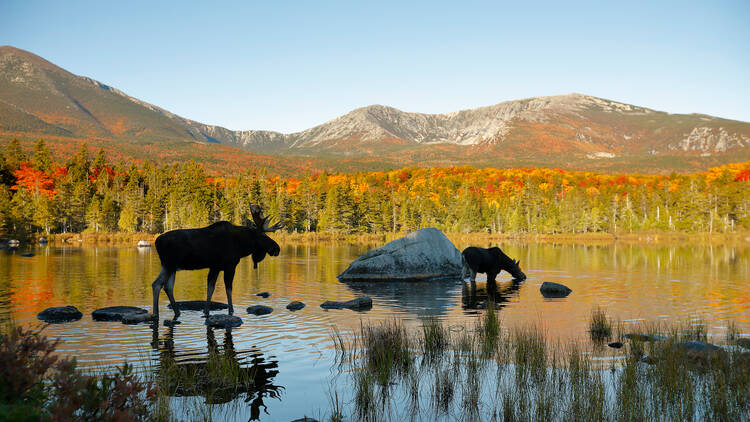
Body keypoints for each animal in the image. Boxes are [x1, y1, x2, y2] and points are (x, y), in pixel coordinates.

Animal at [151, 206, 284, 318]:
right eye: (263, 236)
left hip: (171, 267)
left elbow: (210, 288)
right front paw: (231, 310)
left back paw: (176, 311)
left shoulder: (215, 267)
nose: (277, 248)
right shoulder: (230, 266)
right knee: (157, 284)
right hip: (169, 264)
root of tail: (157, 242)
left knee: (168, 286)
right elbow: (228, 290)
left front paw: (206, 311)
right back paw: (156, 313)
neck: (241, 246)